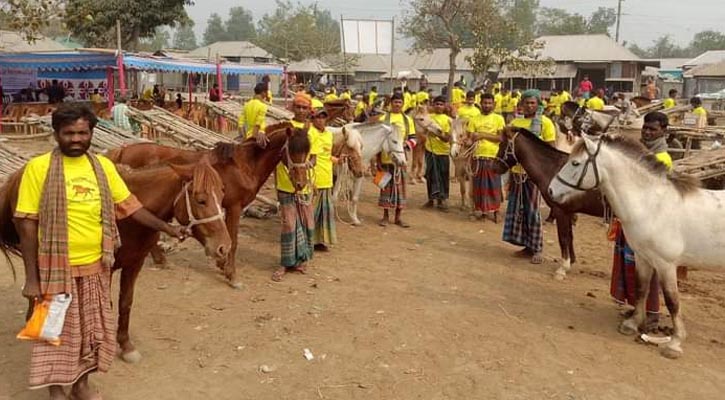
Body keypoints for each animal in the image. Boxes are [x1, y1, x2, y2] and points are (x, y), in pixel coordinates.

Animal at [106, 123, 310, 290]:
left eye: (307, 150)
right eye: (292, 150)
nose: (301, 184)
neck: (244, 166)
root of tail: (122, 150)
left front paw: (222, 265)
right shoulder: (235, 207)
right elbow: (233, 241)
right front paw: (231, 276)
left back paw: (161, 260)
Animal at [548, 134, 720, 360]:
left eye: (575, 163)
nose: (551, 190)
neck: (654, 205)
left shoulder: (666, 265)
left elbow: (672, 301)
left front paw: (674, 343)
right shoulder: (643, 257)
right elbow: (640, 289)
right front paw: (632, 323)